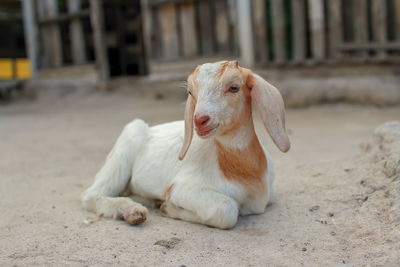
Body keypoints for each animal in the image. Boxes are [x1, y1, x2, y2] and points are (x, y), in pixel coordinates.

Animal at [81, 61, 290, 230]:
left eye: (234, 87)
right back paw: (133, 212)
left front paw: (162, 205)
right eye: (191, 91)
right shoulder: (183, 188)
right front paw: (168, 207)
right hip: (125, 147)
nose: (200, 120)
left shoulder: (271, 192)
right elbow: (227, 209)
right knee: (91, 195)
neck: (245, 174)